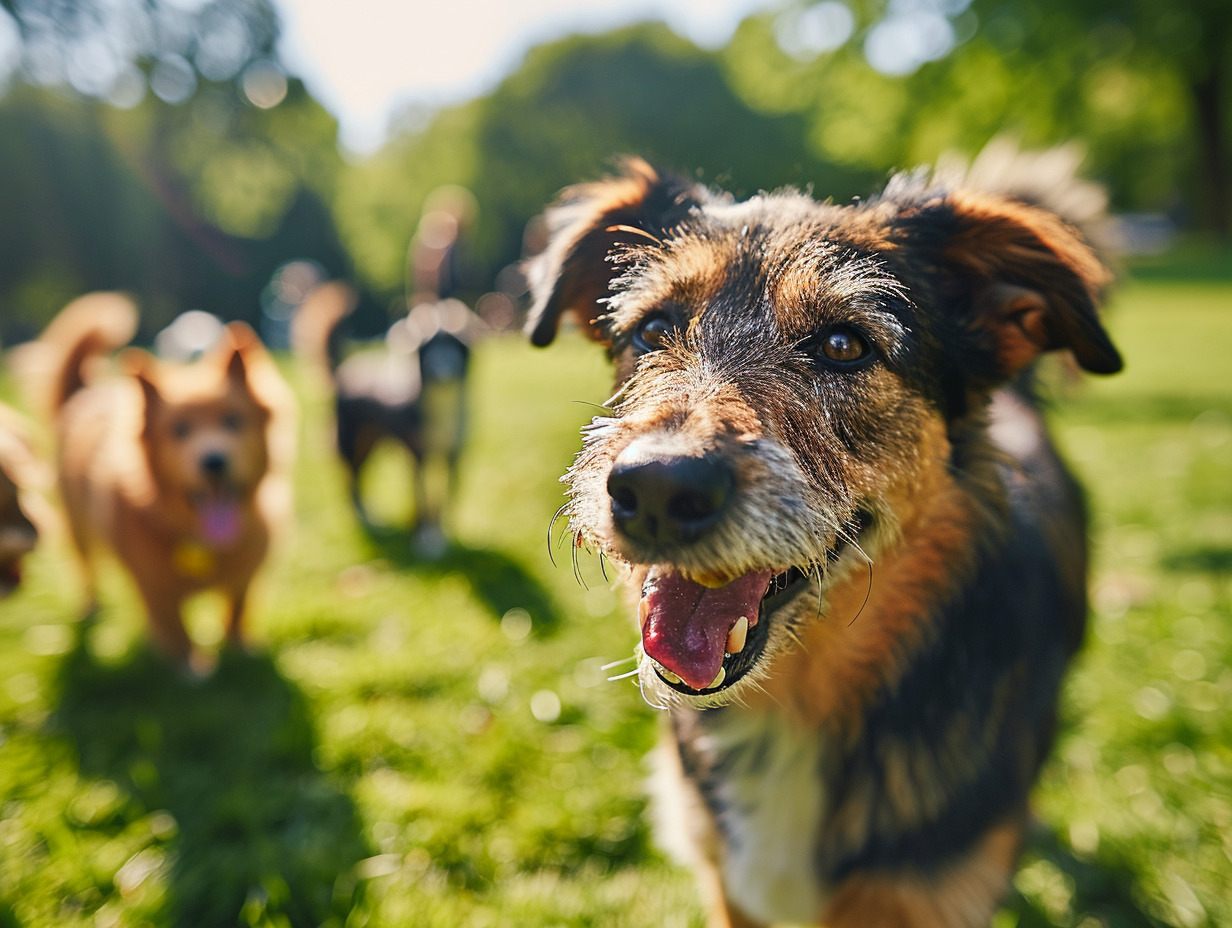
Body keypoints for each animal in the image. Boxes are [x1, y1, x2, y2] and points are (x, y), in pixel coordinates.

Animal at [30, 293, 294, 660]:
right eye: (179, 430)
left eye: (232, 421)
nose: (214, 460)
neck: (201, 541)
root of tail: (86, 391)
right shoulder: (153, 586)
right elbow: (174, 627)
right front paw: (190, 665)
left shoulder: (246, 574)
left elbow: (237, 606)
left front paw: (239, 646)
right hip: (78, 527)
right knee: (86, 568)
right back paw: (91, 605)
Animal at [293, 282, 480, 554]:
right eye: (430, 347)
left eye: (453, 345)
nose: (443, 369)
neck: (441, 401)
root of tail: (342, 371)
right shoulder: (418, 457)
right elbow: (423, 500)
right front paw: (426, 541)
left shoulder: (454, 454)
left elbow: (445, 498)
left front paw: (445, 534)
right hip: (350, 441)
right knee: (350, 479)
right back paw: (364, 518)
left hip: (371, 442)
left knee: (359, 475)